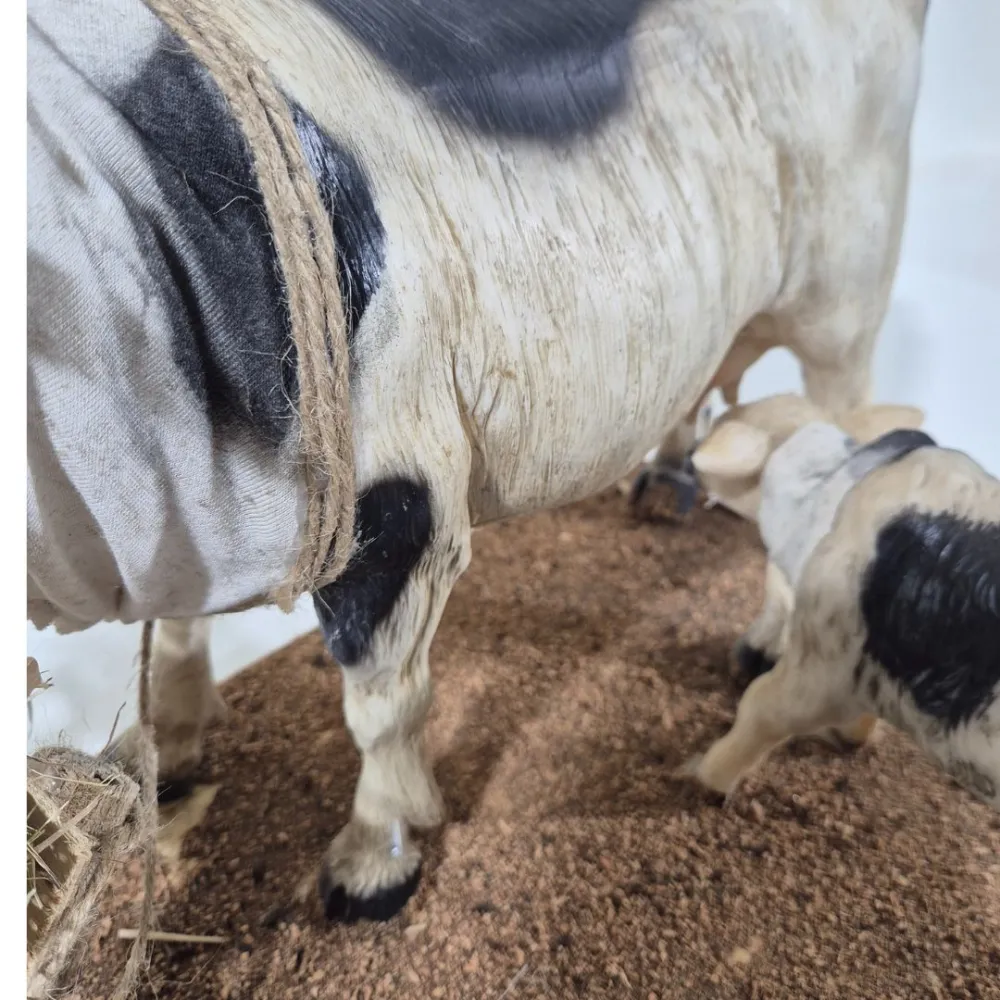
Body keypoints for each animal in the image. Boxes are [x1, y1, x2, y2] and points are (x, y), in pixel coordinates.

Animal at [27, 0, 931, 921]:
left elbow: (382, 701)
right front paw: (168, 760)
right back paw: (664, 487)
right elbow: (176, 635)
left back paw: (766, 640)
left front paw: (374, 867)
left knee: (838, 428)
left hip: (845, 294)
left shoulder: (402, 499)